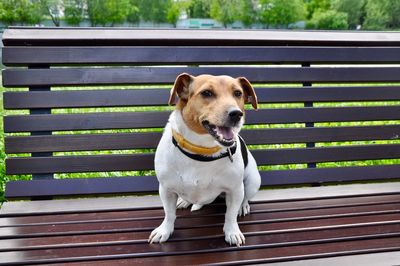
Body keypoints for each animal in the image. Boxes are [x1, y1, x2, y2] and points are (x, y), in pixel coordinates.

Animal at [148, 73, 260, 247]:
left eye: (238, 93)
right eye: (207, 93)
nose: (236, 114)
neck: (201, 151)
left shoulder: (235, 190)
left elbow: (230, 215)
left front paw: (232, 232)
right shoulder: (166, 189)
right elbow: (169, 213)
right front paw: (164, 230)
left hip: (253, 182)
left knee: (245, 197)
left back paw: (243, 206)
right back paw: (185, 201)